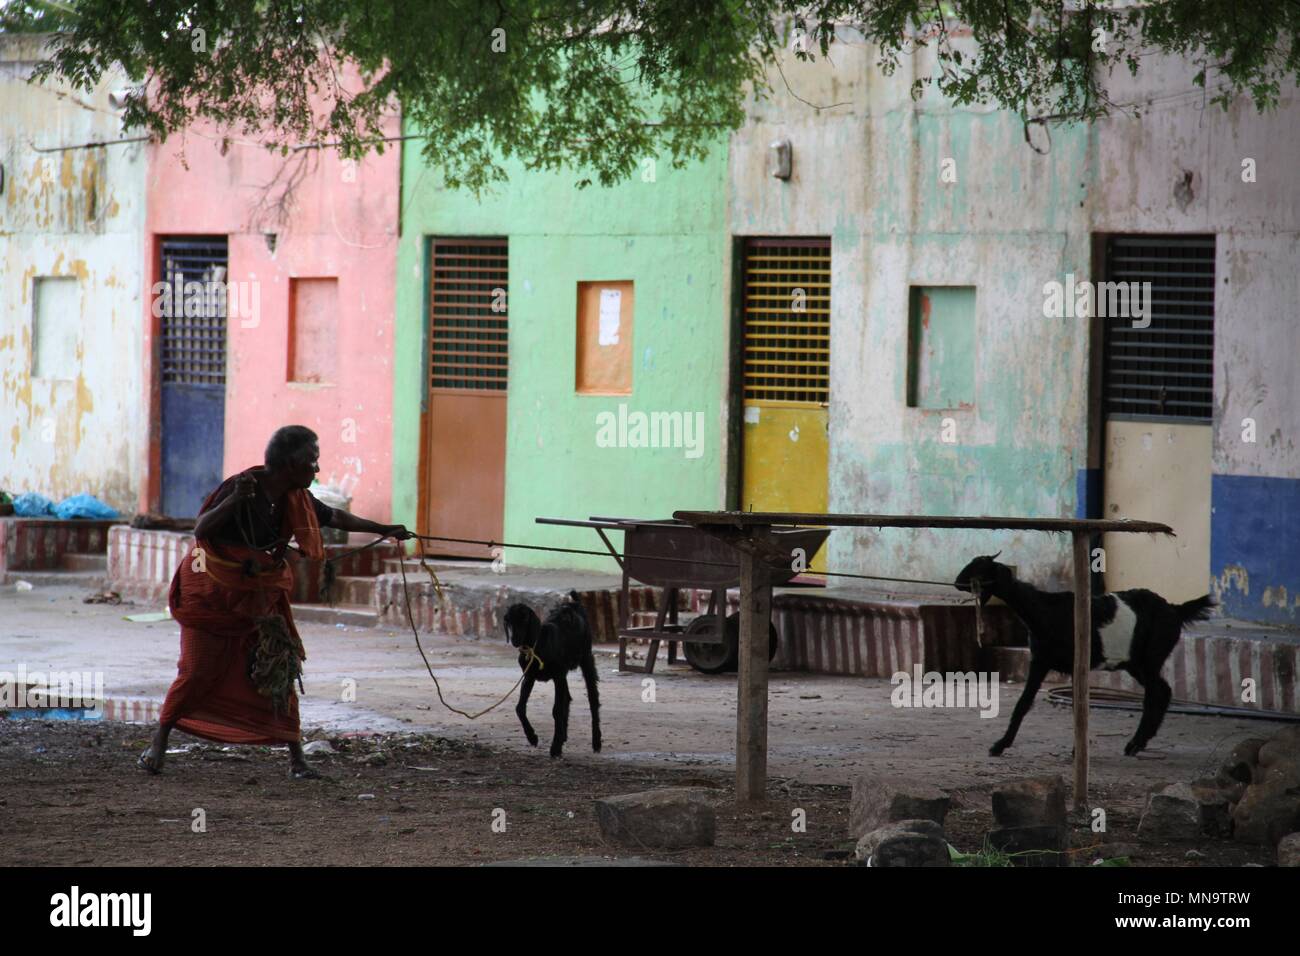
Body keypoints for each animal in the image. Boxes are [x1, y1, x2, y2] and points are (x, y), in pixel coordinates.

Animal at [499, 590, 600, 764]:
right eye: (509, 620)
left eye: (525, 619)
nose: (515, 640)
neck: (537, 646)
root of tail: (574, 604)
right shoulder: (530, 676)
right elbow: (520, 707)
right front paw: (532, 737)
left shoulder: (558, 675)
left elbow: (557, 710)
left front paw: (555, 748)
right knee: (567, 698)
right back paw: (563, 736)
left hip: (586, 657)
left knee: (592, 699)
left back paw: (596, 742)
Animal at [951, 556, 1211, 759]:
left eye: (980, 568)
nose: (956, 582)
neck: (1045, 611)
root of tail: (1175, 609)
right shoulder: (1040, 661)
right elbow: (1023, 703)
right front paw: (1000, 745)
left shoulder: (1073, 664)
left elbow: (1078, 707)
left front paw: (1078, 752)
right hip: (1135, 663)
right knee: (1163, 690)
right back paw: (1139, 743)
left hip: (1150, 657)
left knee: (1155, 693)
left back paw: (1135, 743)